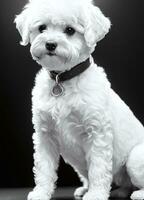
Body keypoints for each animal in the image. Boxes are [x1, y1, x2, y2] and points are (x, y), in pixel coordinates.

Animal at [14, 0, 144, 200]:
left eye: (70, 30)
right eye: (42, 28)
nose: (50, 44)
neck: (62, 79)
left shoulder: (97, 133)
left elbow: (98, 167)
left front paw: (96, 194)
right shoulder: (45, 135)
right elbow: (44, 168)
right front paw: (41, 192)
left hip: (135, 158)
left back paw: (137, 194)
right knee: (124, 185)